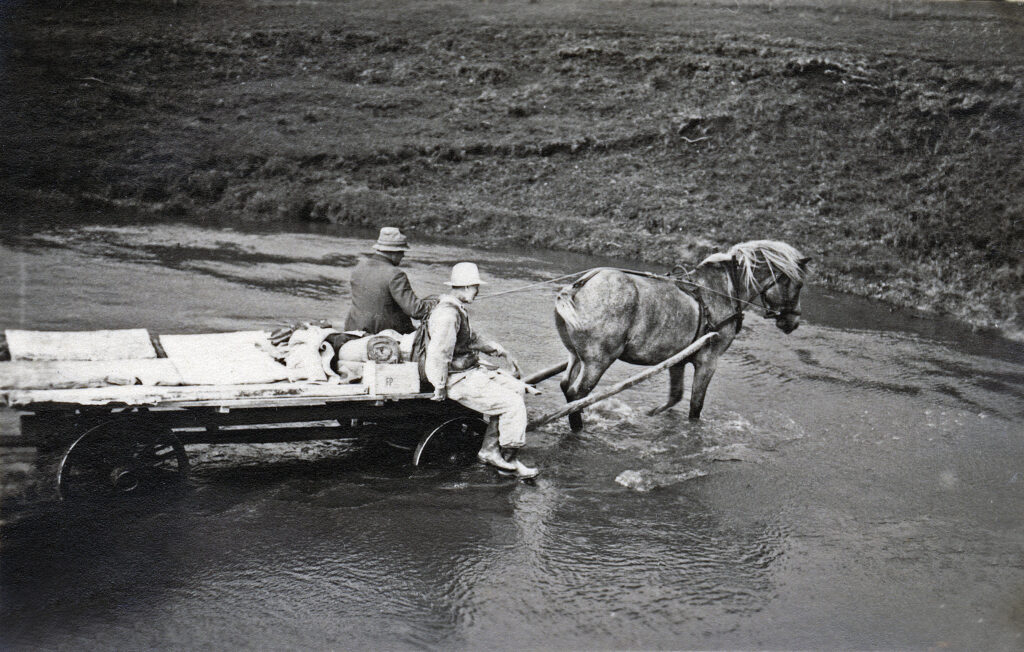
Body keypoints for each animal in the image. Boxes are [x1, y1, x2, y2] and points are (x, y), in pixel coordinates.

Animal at [552, 241, 806, 429]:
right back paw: (577, 427)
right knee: (577, 394)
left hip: (577, 356)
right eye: (798, 284)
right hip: (598, 361)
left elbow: (675, 396)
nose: (793, 322)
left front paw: (649, 414)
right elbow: (695, 405)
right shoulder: (708, 361)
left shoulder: (678, 360)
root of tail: (579, 287)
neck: (722, 291)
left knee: (566, 386)